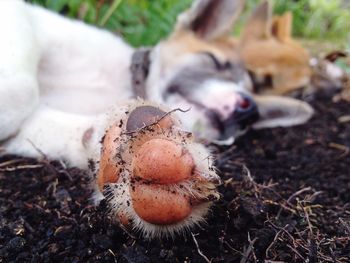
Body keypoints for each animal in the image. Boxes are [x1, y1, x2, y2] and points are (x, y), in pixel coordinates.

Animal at [0, 0, 314, 238]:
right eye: (214, 61)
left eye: (250, 121)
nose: (249, 111)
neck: (121, 84)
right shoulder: (22, 16)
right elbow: (22, 92)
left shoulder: (36, 129)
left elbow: (76, 131)